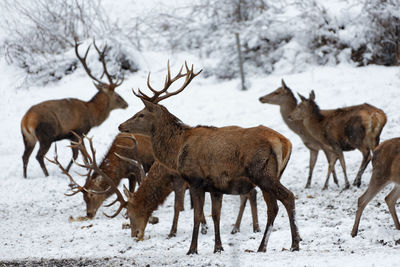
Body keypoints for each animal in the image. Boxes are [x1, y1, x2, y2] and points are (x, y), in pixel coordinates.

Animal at [21, 39, 127, 178]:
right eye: (117, 95)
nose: (126, 104)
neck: (91, 114)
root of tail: (26, 121)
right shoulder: (78, 132)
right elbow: (79, 155)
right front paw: (69, 170)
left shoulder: (77, 135)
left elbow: (82, 155)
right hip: (46, 136)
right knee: (39, 156)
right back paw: (47, 174)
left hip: (28, 138)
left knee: (24, 156)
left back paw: (25, 176)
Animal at [117, 61, 298, 255]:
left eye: (140, 114)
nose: (120, 125)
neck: (177, 150)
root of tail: (286, 142)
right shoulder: (216, 187)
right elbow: (215, 216)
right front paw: (218, 247)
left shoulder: (196, 180)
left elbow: (197, 216)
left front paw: (192, 249)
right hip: (271, 176)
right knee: (273, 207)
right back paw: (262, 247)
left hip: (263, 173)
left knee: (288, 197)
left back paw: (294, 243)